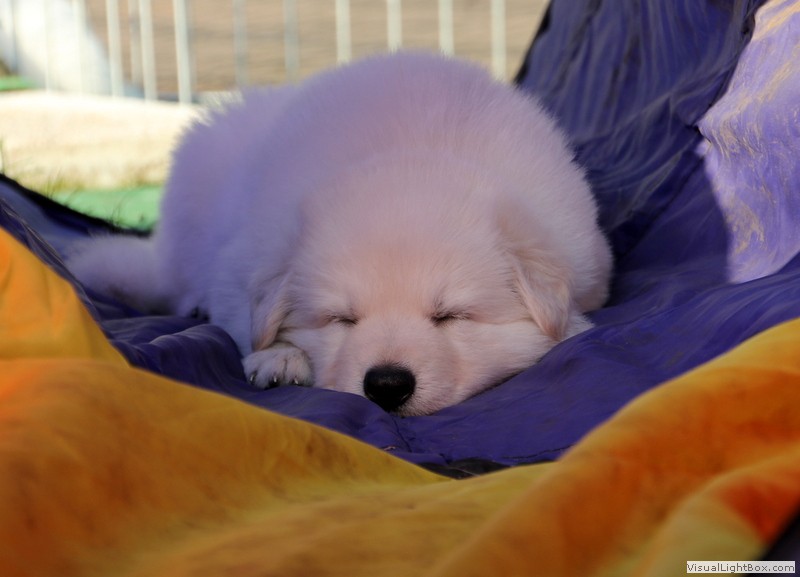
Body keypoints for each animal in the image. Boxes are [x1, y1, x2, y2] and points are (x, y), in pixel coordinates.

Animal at [68, 52, 612, 416]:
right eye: (340, 319)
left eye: (450, 316)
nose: (387, 385)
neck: (409, 153)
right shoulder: (242, 260)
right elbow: (245, 317)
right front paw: (281, 357)